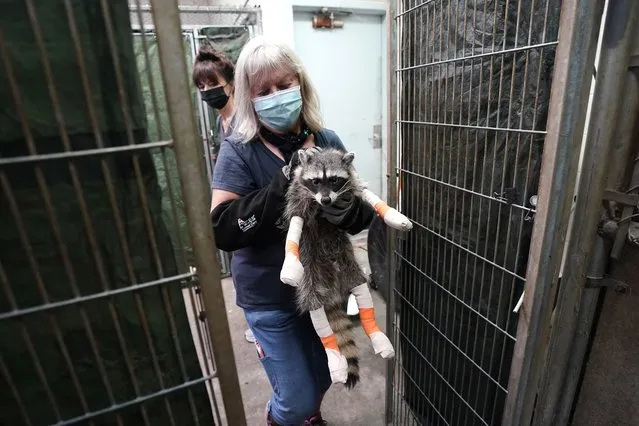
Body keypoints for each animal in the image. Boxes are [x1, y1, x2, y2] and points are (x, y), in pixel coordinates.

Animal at [284, 147, 370, 390]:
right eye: (315, 181)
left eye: (333, 179)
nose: (325, 199)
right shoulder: (297, 192)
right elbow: (296, 216)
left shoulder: (351, 185)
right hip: (308, 262)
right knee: (311, 298)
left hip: (345, 254)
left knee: (356, 279)